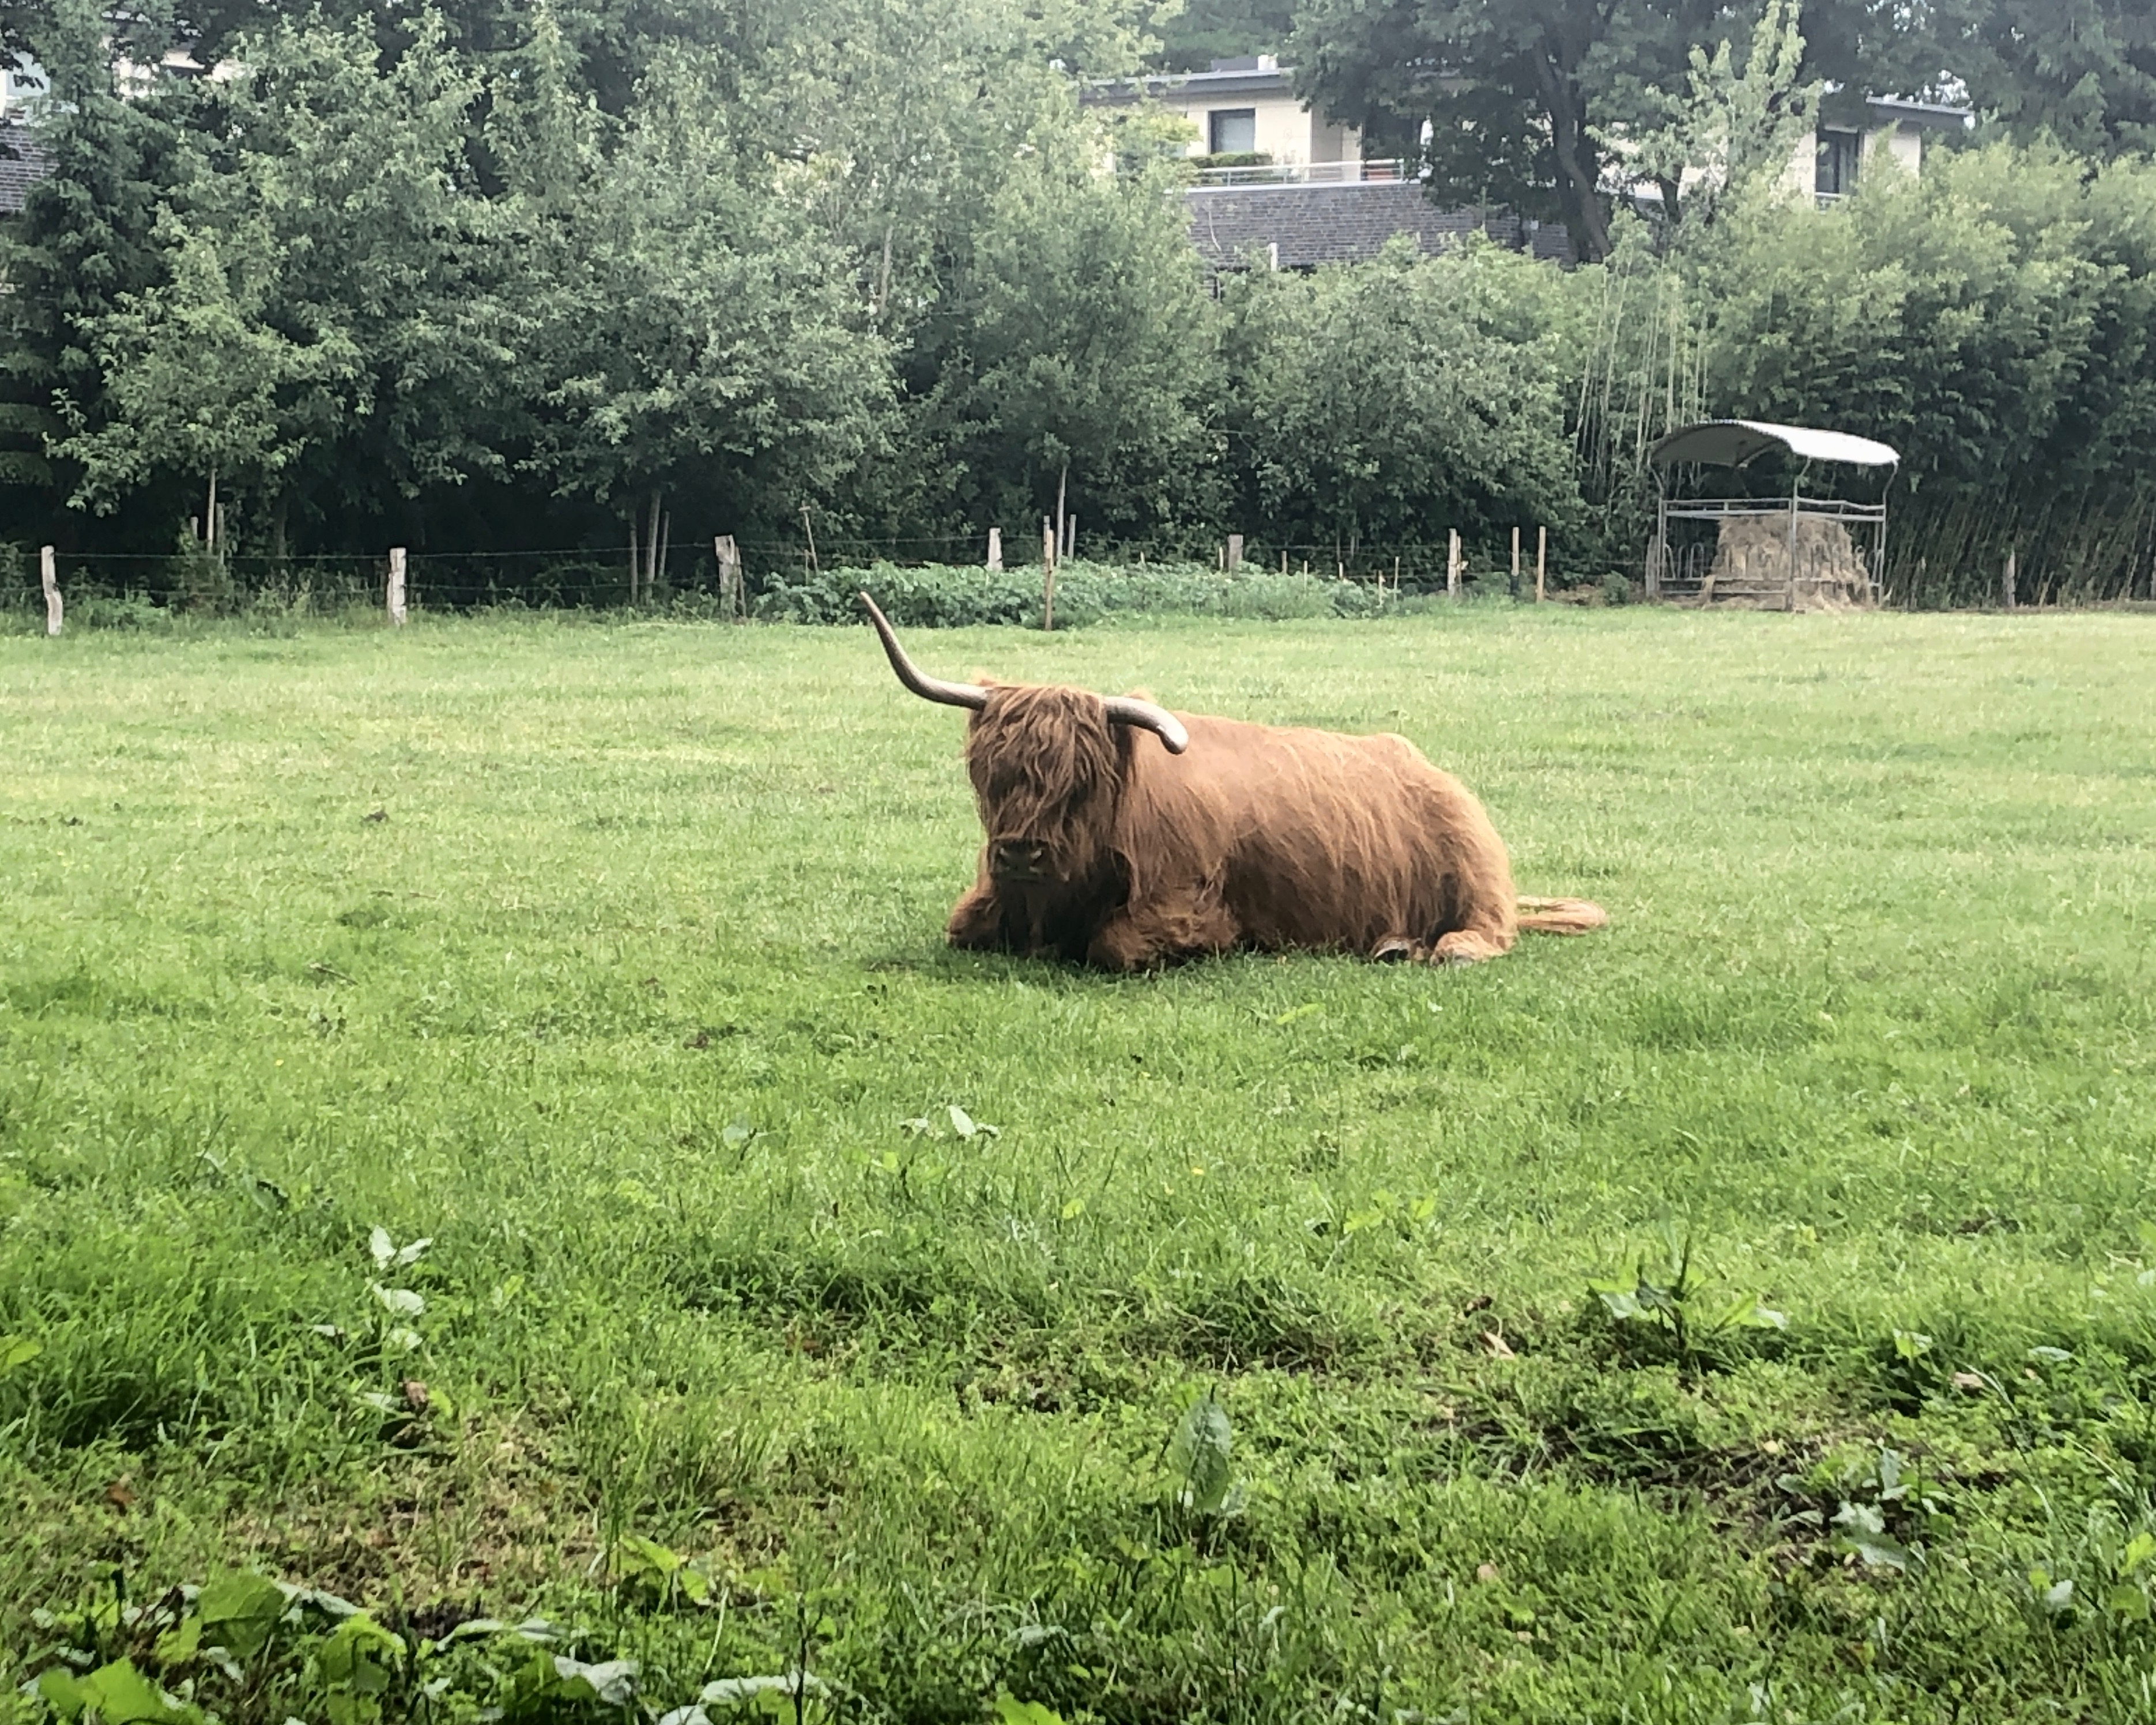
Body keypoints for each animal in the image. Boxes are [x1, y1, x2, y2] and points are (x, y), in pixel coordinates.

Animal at [861, 593, 1606, 969]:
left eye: (1079, 782)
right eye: (992, 775)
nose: (1019, 852)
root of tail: (1427, 769)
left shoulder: (1187, 899)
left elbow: (1115, 944)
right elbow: (963, 926)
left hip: (1472, 866)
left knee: (1485, 930)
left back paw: (1442, 948)